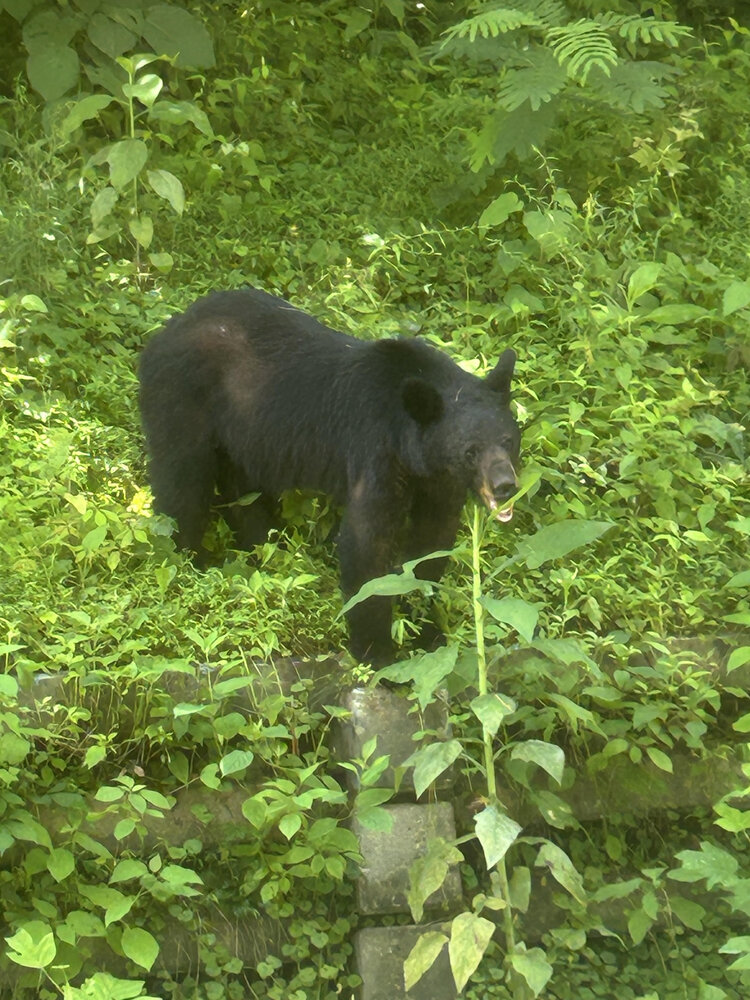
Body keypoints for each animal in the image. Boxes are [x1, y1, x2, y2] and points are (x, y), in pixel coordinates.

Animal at [138, 287, 520, 664]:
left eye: (508, 440)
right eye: (470, 451)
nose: (505, 485)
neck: (413, 448)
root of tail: (165, 329)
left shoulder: (437, 482)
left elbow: (431, 545)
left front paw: (428, 631)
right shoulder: (376, 451)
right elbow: (366, 544)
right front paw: (377, 652)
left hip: (244, 433)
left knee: (243, 494)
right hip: (182, 398)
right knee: (182, 484)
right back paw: (188, 563)